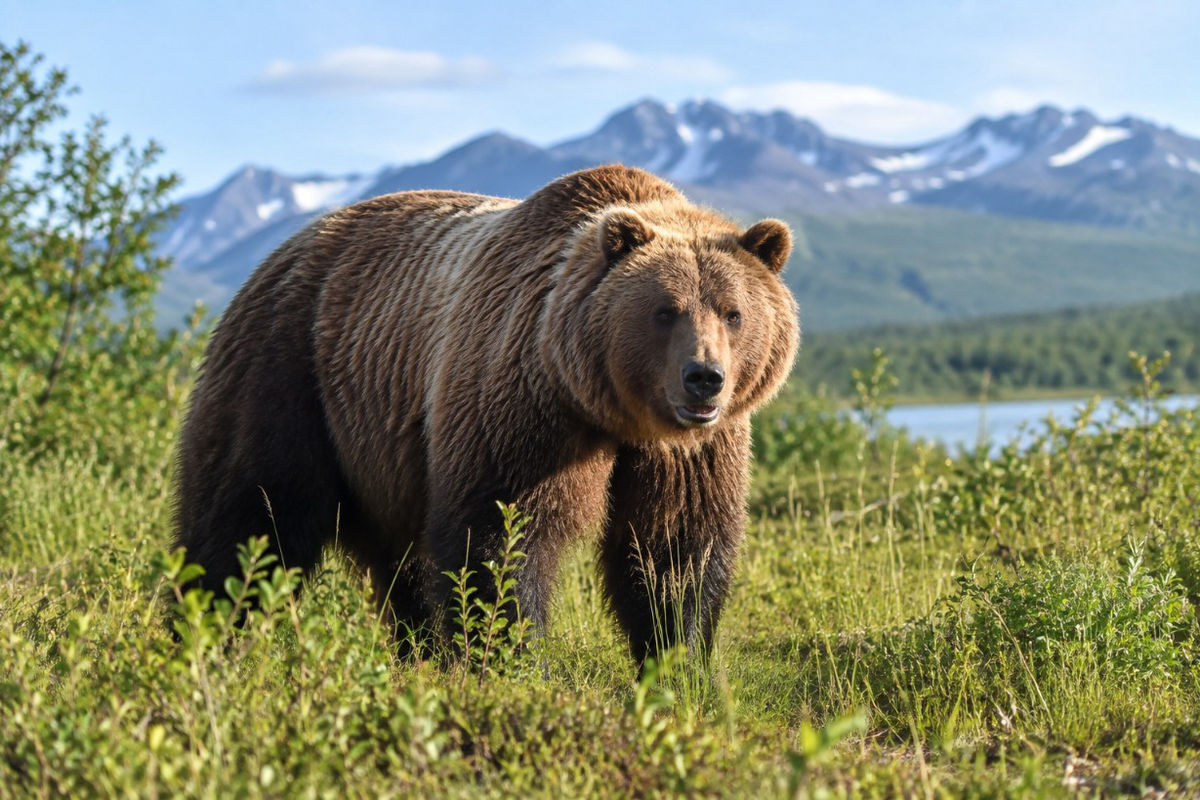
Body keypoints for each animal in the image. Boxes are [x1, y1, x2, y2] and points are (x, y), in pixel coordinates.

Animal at [175, 165, 799, 663]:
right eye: (665, 311)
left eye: (733, 312)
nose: (704, 378)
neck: (612, 409)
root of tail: (282, 250)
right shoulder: (522, 402)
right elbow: (499, 535)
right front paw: (510, 661)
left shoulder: (686, 452)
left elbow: (675, 549)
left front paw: (680, 664)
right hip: (290, 374)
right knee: (251, 520)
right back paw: (201, 634)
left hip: (382, 450)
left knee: (402, 562)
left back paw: (419, 650)